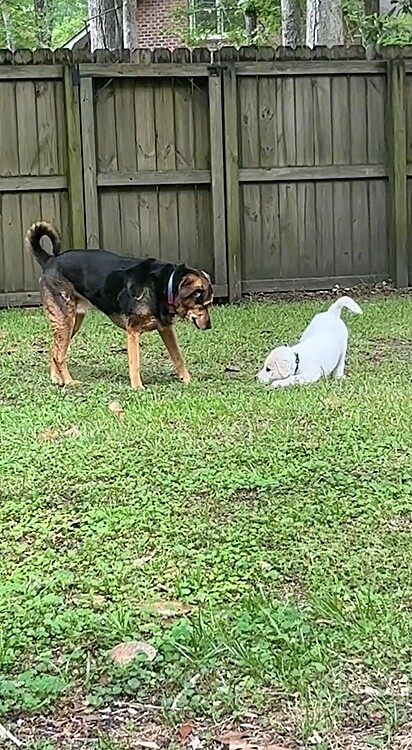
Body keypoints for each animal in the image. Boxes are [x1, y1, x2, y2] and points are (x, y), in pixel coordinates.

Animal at [26, 220, 212, 390]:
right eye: (204, 305)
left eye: (209, 305)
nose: (209, 326)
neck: (166, 285)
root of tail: (50, 260)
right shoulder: (133, 331)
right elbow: (134, 363)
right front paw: (138, 387)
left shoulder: (166, 329)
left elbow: (178, 357)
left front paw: (187, 380)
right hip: (65, 319)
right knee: (59, 355)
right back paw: (69, 382)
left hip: (72, 322)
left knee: (54, 350)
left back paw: (56, 378)